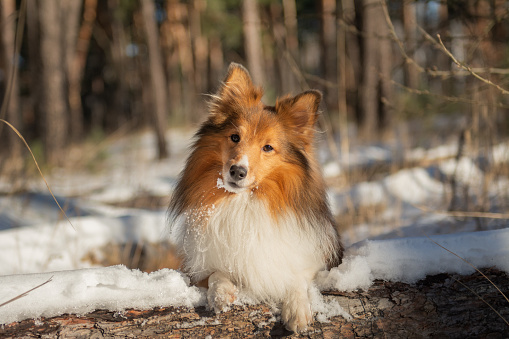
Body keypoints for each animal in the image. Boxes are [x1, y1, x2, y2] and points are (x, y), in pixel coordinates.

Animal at [169, 62, 344, 334]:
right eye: (235, 137)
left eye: (268, 147)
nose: (237, 171)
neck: (245, 202)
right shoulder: (200, 267)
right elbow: (216, 274)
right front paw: (221, 294)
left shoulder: (315, 258)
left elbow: (296, 276)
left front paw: (297, 310)